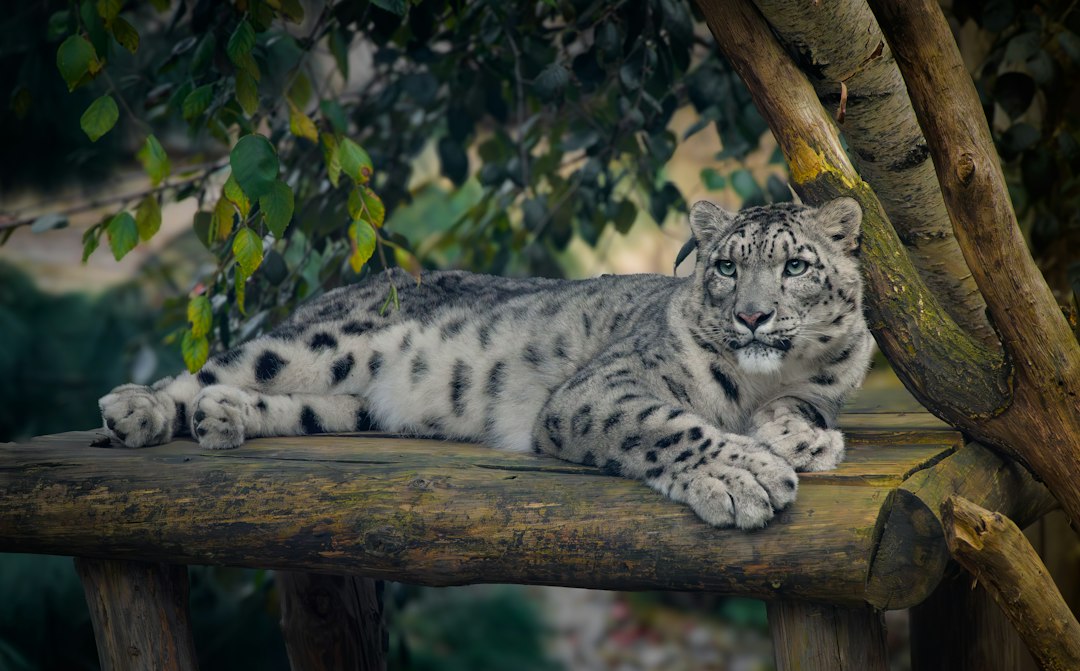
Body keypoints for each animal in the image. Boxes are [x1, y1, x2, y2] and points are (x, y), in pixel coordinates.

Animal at [99, 197, 873, 529]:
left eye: (796, 265)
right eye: (726, 266)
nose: (753, 316)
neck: (756, 378)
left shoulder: (828, 382)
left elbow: (804, 402)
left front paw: (803, 438)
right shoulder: (605, 388)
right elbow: (666, 425)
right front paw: (745, 477)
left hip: (346, 403)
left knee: (290, 405)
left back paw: (223, 420)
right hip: (316, 345)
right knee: (215, 369)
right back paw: (137, 409)